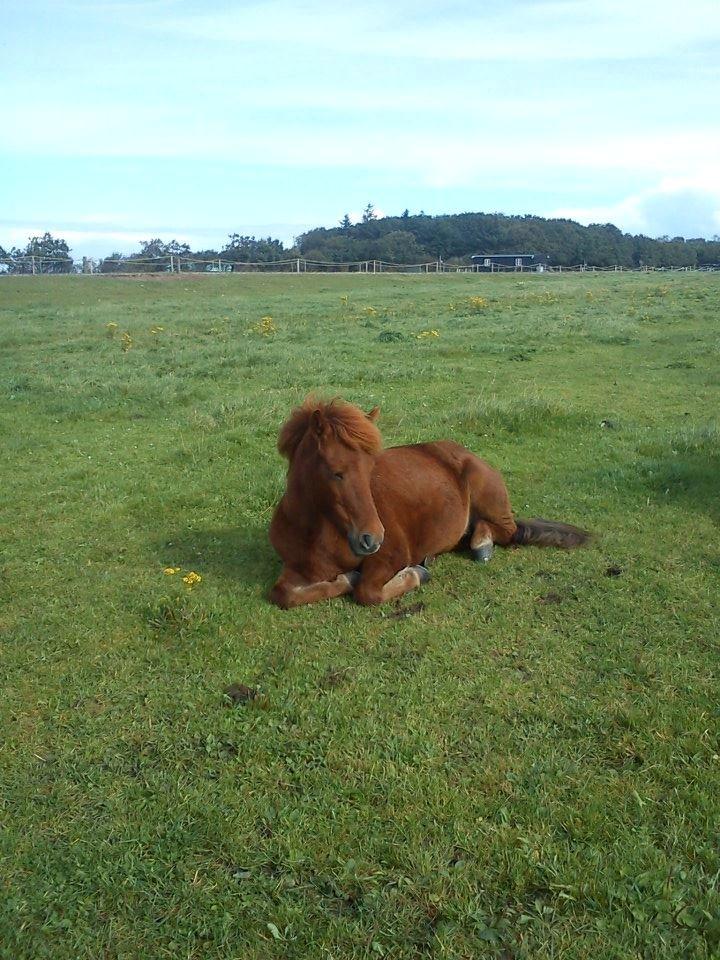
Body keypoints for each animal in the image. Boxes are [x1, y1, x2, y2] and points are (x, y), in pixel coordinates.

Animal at [268, 398, 588, 608]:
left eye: (371, 469)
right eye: (337, 472)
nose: (372, 538)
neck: (321, 532)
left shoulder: (392, 556)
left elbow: (368, 591)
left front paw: (415, 573)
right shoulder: (295, 569)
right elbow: (283, 594)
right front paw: (345, 578)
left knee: (507, 531)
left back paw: (481, 545)